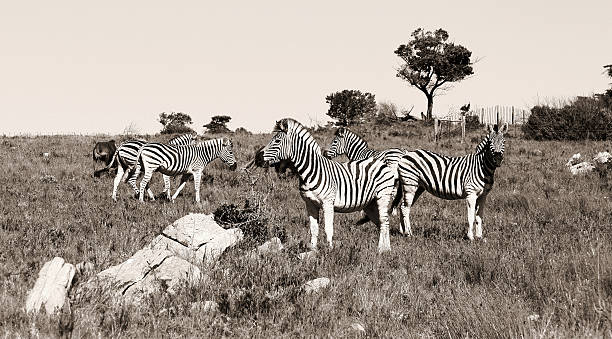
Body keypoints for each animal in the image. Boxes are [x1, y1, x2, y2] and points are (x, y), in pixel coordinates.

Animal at [260, 118, 394, 254]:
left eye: (277, 141)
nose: (259, 157)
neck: (310, 171)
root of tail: (380, 162)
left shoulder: (328, 203)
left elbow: (328, 228)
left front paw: (330, 251)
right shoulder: (310, 204)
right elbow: (314, 229)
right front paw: (313, 250)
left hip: (383, 197)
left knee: (385, 222)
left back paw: (382, 250)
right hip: (369, 204)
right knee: (381, 223)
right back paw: (384, 249)